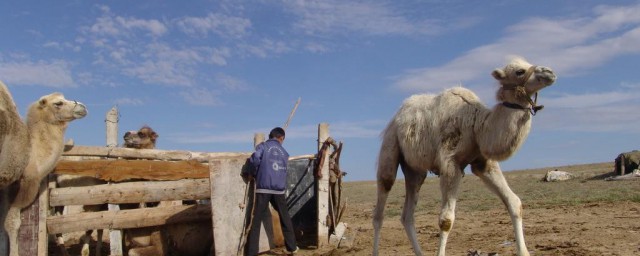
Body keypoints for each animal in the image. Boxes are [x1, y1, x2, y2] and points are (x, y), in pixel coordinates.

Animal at [372, 56, 556, 256]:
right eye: (519, 71)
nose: (550, 72)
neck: (478, 126)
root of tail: (396, 117)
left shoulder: (483, 162)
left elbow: (514, 202)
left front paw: (523, 251)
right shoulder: (450, 163)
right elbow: (446, 220)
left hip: (415, 169)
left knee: (407, 215)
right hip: (390, 144)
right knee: (381, 203)